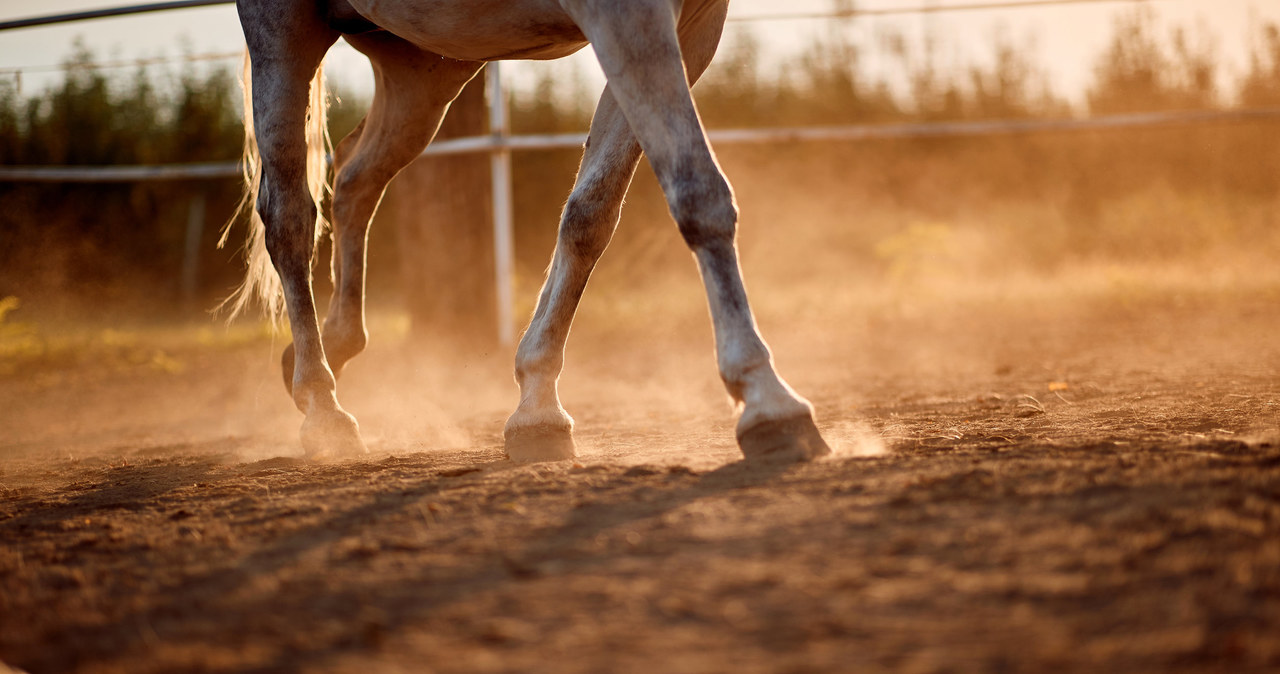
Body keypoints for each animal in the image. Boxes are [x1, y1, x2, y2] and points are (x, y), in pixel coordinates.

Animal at [226, 0, 834, 465]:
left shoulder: (691, 26)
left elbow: (591, 214)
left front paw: (537, 407)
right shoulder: (628, 16)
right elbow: (698, 193)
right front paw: (768, 399)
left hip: (424, 66)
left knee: (354, 177)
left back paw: (330, 348)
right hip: (286, 33)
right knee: (289, 217)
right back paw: (322, 407)